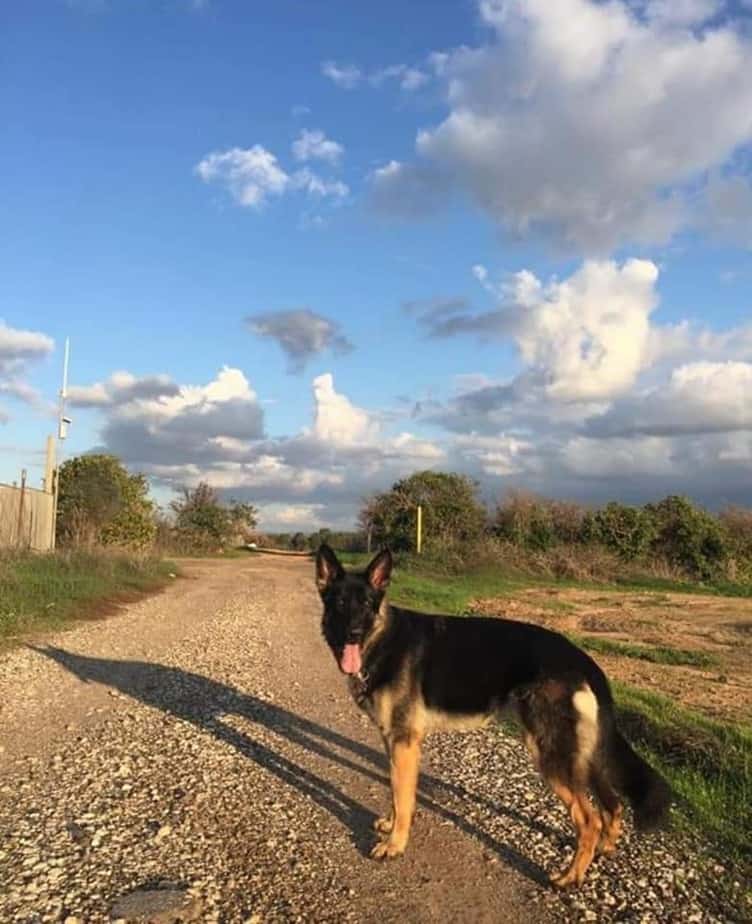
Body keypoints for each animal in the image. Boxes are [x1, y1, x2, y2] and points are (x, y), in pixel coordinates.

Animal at [312, 544, 668, 884]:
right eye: (340, 603)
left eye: (367, 604)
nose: (353, 634)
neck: (383, 639)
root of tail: (583, 659)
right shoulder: (394, 742)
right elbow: (394, 791)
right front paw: (389, 825)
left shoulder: (404, 744)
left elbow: (403, 797)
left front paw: (394, 845)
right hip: (580, 755)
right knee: (612, 804)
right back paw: (603, 849)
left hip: (551, 755)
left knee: (589, 819)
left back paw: (571, 876)